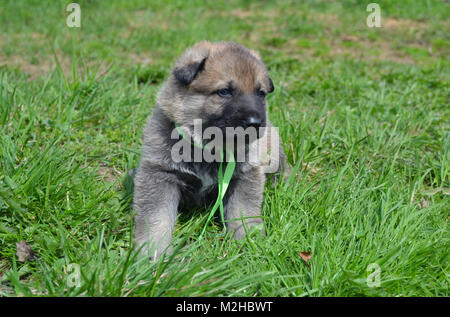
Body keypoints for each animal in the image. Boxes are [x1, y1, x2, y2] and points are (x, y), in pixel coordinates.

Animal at [132, 40, 290, 260]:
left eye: (260, 93)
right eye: (224, 92)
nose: (255, 122)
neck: (208, 147)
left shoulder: (245, 175)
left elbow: (243, 210)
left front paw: (248, 240)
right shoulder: (160, 174)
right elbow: (157, 217)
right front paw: (154, 252)